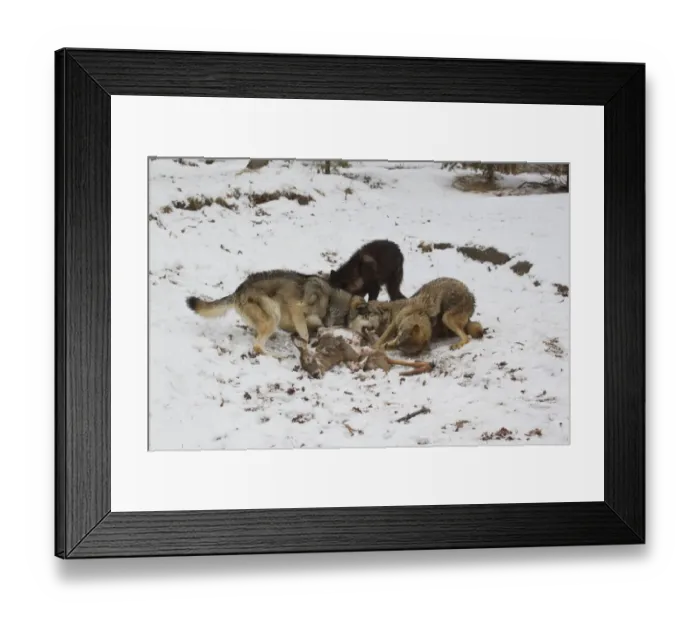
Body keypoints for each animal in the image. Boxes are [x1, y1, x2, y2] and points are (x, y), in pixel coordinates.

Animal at [185, 269, 334, 357]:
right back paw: (278, 355)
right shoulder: (296, 309)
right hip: (274, 315)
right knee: (257, 346)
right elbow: (305, 334)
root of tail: (238, 291)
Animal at [347, 277, 484, 354]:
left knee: (467, 337)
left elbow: (381, 340)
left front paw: (375, 347)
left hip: (446, 318)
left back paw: (457, 344)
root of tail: (471, 297)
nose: (361, 310)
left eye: (368, 313)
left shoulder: (393, 326)